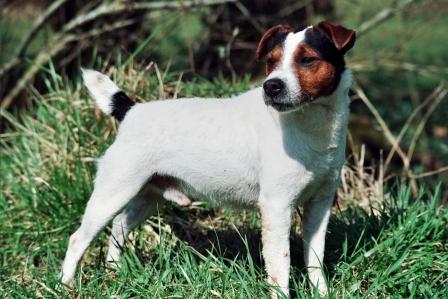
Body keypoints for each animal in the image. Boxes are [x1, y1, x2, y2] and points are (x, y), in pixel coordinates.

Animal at [61, 21, 356, 298]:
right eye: (271, 61)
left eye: (307, 59)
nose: (271, 86)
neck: (310, 125)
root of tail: (131, 111)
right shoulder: (277, 207)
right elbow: (280, 265)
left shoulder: (320, 204)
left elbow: (315, 257)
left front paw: (322, 293)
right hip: (114, 191)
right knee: (78, 239)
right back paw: (66, 286)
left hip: (148, 195)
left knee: (119, 226)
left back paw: (114, 272)